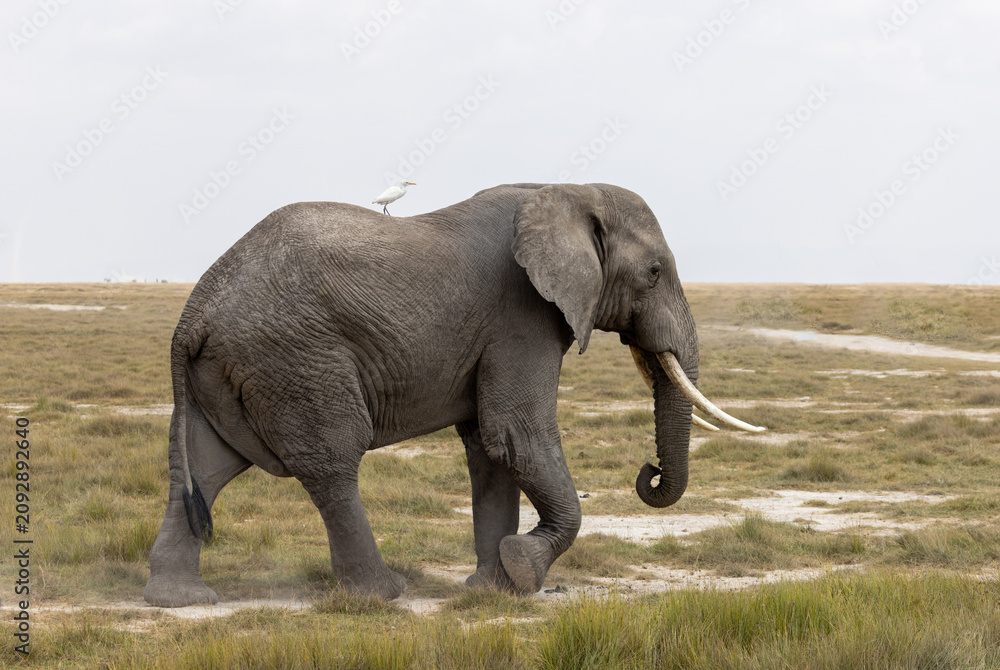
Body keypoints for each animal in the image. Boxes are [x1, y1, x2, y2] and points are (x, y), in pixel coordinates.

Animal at [143, 182, 762, 607]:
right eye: (654, 272)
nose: (649, 472)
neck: (566, 190)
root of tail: (194, 310)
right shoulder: (522, 316)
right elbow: (516, 435)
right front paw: (523, 570)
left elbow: (490, 450)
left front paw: (492, 588)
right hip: (296, 357)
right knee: (332, 461)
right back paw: (382, 594)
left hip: (232, 368)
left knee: (204, 464)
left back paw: (178, 600)